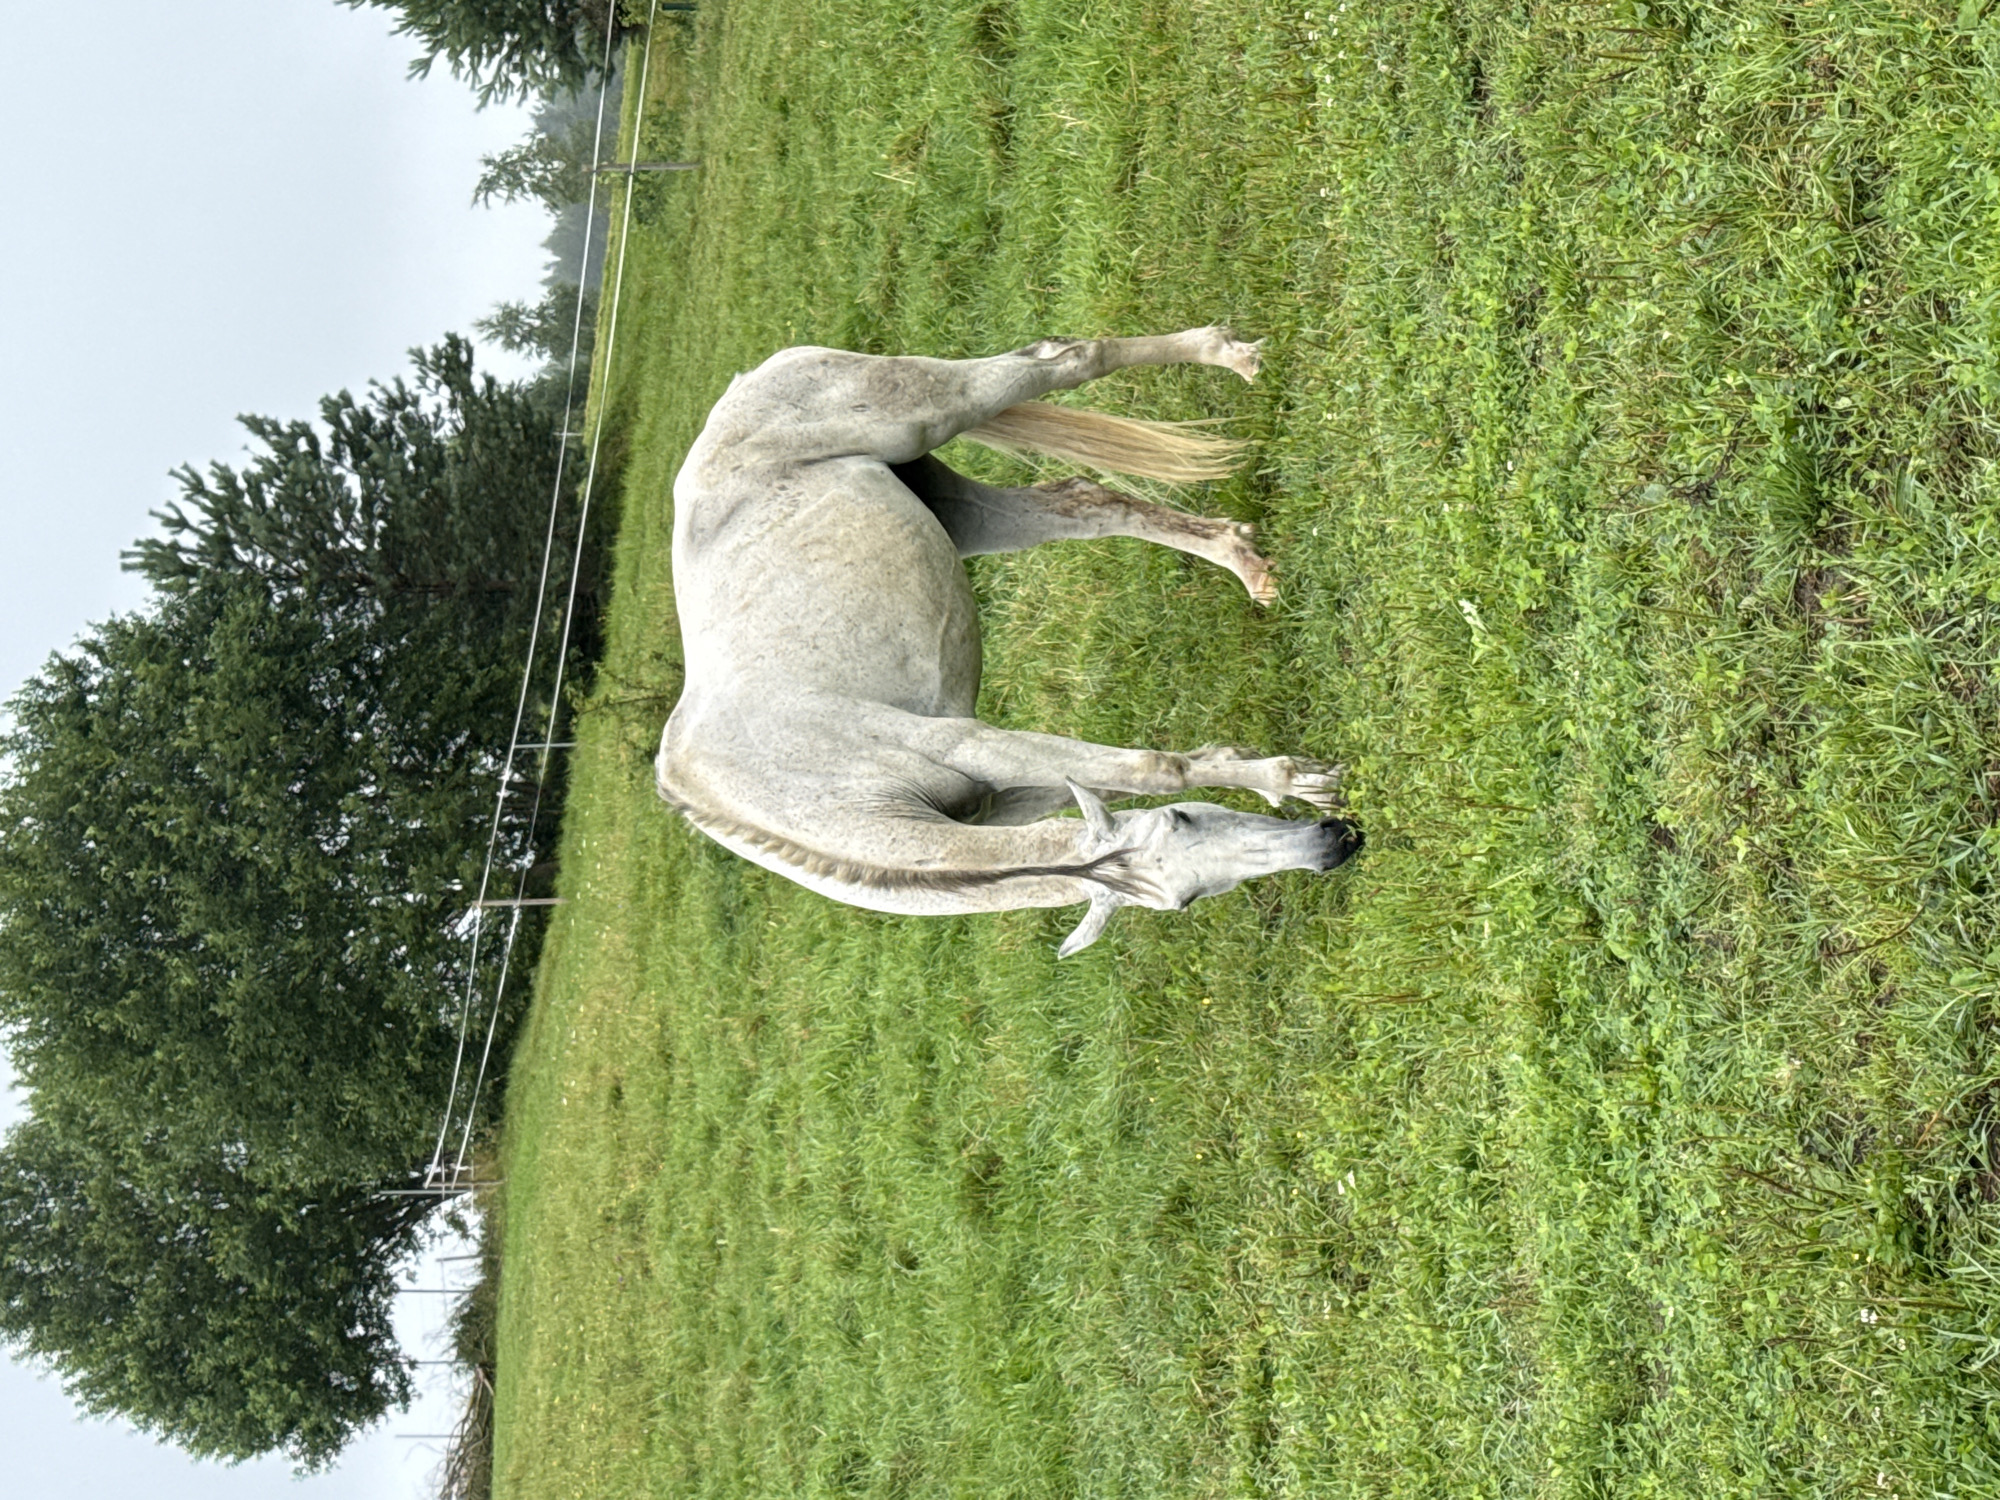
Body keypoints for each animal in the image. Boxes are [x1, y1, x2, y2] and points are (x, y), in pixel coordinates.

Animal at [654, 326, 1361, 957]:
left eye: (1183, 819)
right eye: (1184, 895)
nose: (1335, 841)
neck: (802, 791)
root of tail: (747, 383)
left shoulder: (972, 743)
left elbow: (1151, 769)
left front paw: (1300, 780)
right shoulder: (1007, 798)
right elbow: (1133, 779)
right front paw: (1261, 768)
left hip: (937, 410)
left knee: (1068, 359)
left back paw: (1231, 356)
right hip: (960, 512)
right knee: (1084, 502)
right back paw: (1245, 562)